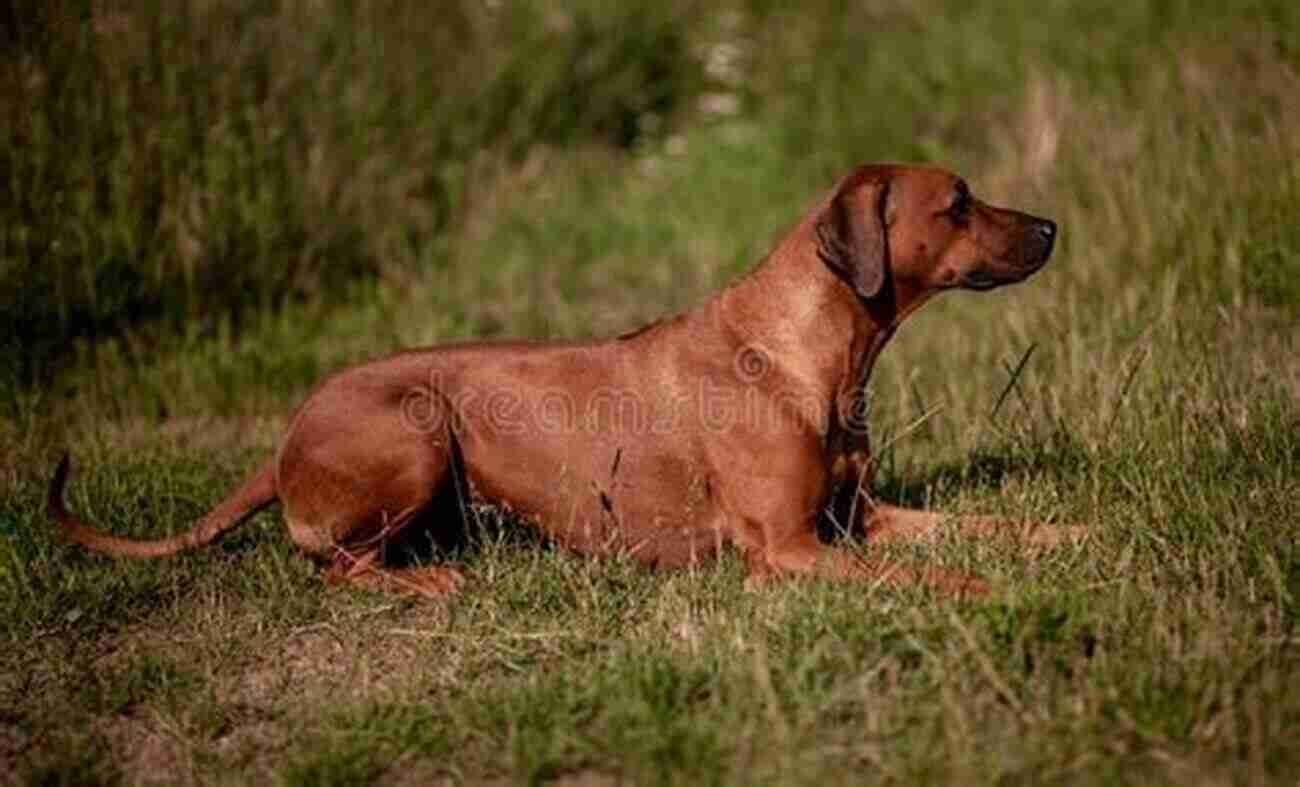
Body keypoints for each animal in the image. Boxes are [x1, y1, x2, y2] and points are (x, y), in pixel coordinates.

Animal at [48, 165, 1066, 595]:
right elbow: (937, 576)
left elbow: (994, 528)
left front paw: (1076, 538)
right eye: (959, 203)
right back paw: (429, 583)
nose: (1053, 226)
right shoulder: (790, 548)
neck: (802, 349)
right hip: (415, 425)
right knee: (335, 566)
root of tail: (283, 441)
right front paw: (1000, 595)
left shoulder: (863, 518)